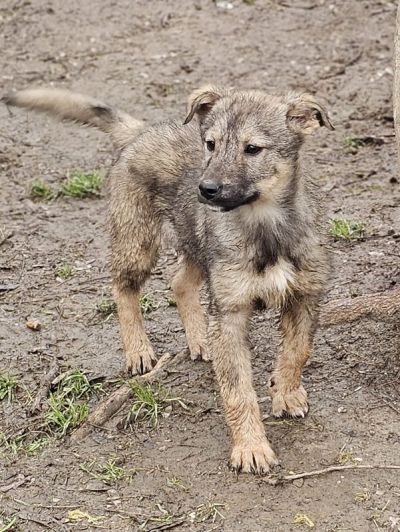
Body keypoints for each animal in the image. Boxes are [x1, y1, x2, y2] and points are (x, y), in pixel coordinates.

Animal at [2, 85, 333, 474]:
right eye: (210, 144)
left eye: (252, 149)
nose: (206, 189)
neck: (266, 226)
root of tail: (140, 132)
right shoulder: (230, 312)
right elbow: (238, 390)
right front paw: (251, 447)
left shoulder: (306, 295)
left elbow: (297, 351)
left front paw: (286, 393)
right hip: (138, 239)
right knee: (122, 287)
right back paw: (138, 351)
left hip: (194, 242)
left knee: (180, 281)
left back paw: (200, 339)